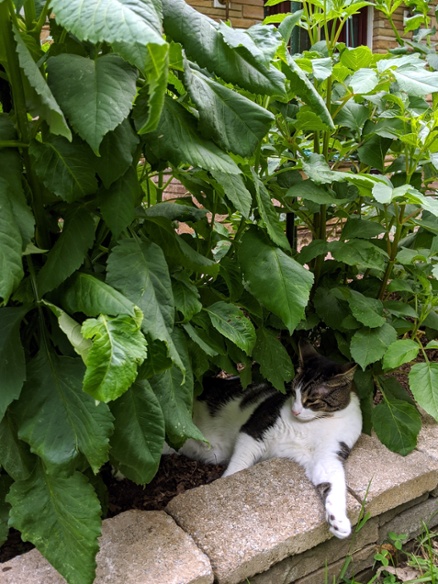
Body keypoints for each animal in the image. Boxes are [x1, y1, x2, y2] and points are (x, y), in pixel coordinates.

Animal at [173, 342, 362, 540]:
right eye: (293, 392)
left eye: (311, 400)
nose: (295, 411)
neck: (317, 422)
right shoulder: (256, 429)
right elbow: (239, 465)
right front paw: (226, 482)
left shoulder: (329, 455)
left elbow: (334, 483)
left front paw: (339, 522)